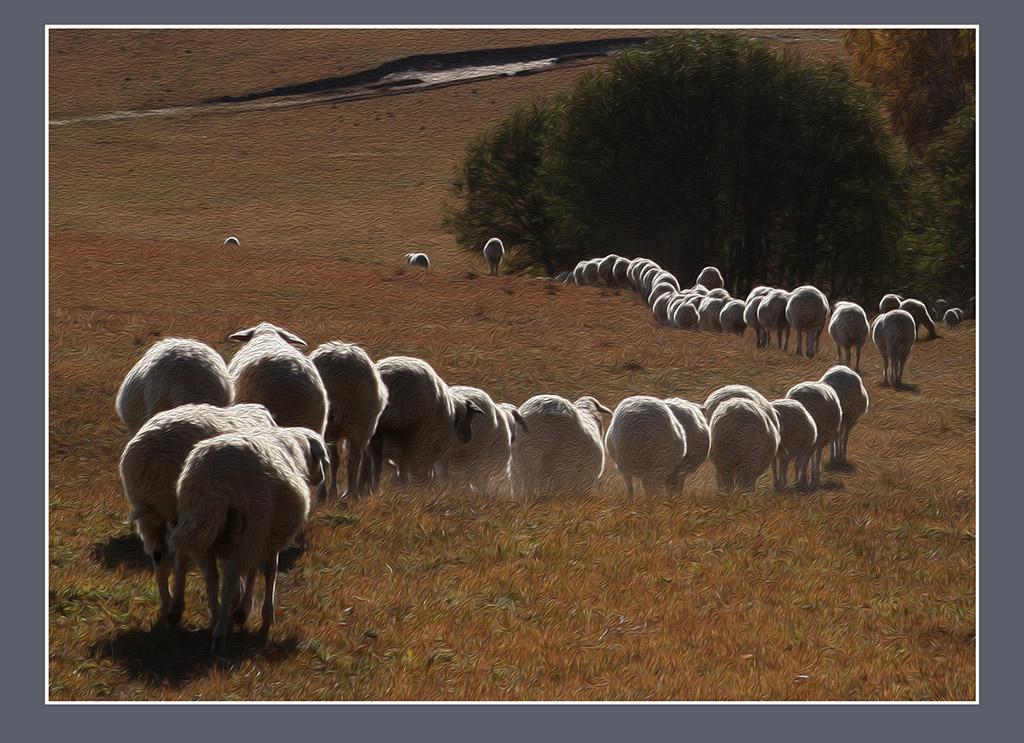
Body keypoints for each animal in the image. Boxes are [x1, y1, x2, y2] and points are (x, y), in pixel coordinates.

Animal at [118, 405, 278, 626]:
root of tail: (153, 457)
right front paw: (242, 608)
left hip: (155, 516)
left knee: (162, 555)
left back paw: (169, 605)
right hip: (193, 511)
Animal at [167, 427, 327, 650]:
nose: (321, 478)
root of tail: (217, 482)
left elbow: (251, 572)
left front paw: (240, 609)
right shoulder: (268, 540)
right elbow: (268, 573)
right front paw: (260, 616)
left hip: (202, 528)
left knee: (212, 577)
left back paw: (217, 618)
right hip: (252, 523)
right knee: (230, 576)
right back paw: (220, 633)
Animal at [307, 341, 387, 501]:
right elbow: (334, 460)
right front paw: (329, 493)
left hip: (357, 425)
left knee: (352, 459)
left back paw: (349, 493)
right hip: (354, 426)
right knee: (348, 459)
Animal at [370, 356, 481, 489]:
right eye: (469, 417)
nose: (467, 438)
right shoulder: (429, 441)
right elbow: (423, 465)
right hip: (413, 431)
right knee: (407, 459)